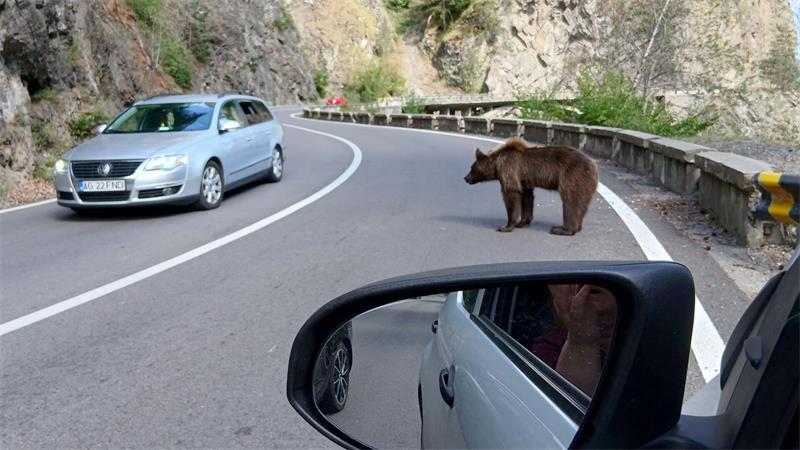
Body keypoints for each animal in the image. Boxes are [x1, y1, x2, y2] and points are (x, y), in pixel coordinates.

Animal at [464, 137, 598, 235]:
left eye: (471, 168)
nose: (465, 178)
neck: (497, 165)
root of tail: (593, 165)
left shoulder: (509, 170)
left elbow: (511, 195)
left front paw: (505, 226)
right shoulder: (524, 180)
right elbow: (526, 197)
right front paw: (523, 222)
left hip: (573, 176)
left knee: (571, 200)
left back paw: (562, 229)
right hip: (585, 183)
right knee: (582, 203)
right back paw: (577, 227)